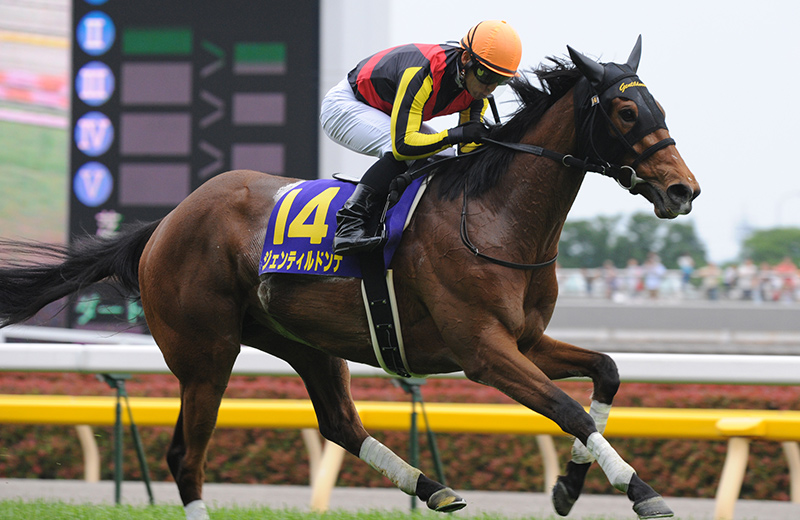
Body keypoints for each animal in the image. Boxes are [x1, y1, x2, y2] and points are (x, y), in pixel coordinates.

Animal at [0, 37, 698, 519]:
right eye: (627, 110)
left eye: (658, 104)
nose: (682, 190)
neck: (492, 214)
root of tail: (167, 223)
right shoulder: (483, 351)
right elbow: (568, 411)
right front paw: (642, 491)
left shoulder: (525, 341)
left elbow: (605, 373)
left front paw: (568, 487)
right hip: (205, 354)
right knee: (186, 455)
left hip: (305, 342)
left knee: (339, 423)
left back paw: (433, 489)